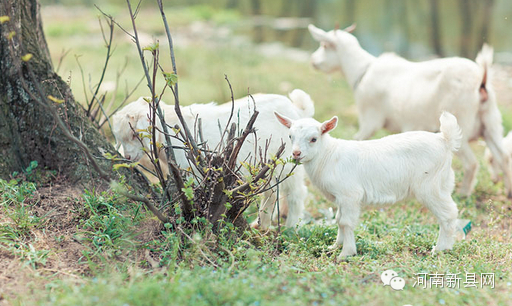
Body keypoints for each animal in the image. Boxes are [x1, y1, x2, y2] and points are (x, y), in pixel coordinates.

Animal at [111, 91, 316, 230]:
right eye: (120, 138)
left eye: (135, 134)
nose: (127, 157)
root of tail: (297, 111)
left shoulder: (191, 170)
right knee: (271, 192)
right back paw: (260, 225)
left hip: (288, 162)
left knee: (297, 192)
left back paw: (291, 227)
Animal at [308, 23, 512, 198]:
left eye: (324, 45)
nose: (312, 61)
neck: (362, 70)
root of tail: (481, 81)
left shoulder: (370, 118)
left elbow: (358, 140)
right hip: (491, 122)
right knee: (502, 156)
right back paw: (508, 193)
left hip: (461, 123)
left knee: (472, 163)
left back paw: (463, 193)